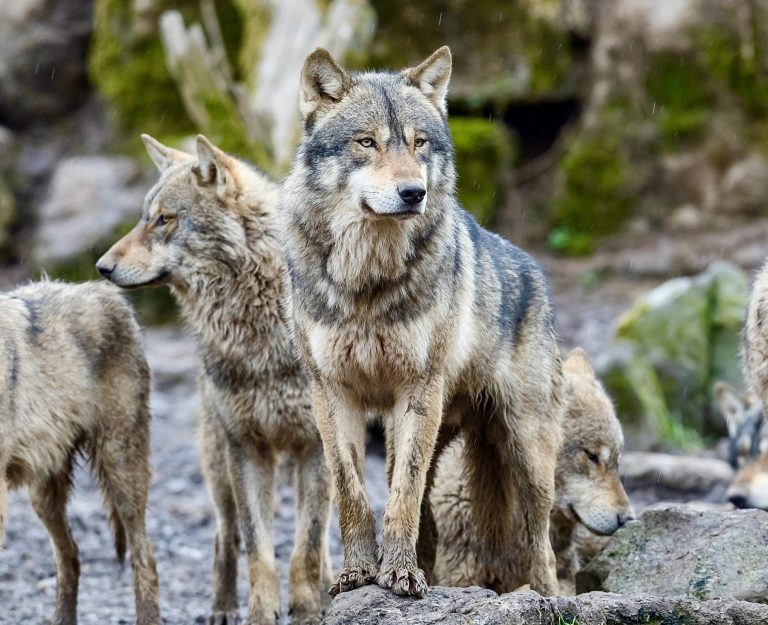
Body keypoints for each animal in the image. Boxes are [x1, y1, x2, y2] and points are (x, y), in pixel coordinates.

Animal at [96, 136, 332, 625]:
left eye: (165, 219)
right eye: (144, 217)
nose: (101, 267)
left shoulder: (316, 447)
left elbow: (306, 546)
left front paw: (307, 609)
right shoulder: (245, 446)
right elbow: (258, 551)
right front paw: (261, 614)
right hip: (219, 462)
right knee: (226, 535)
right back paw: (222, 607)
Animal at [280, 46, 565, 597]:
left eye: (419, 143)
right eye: (367, 142)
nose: (414, 192)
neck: (367, 282)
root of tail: (535, 271)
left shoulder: (415, 389)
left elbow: (402, 493)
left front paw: (399, 575)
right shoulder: (331, 391)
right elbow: (352, 491)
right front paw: (357, 574)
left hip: (526, 452)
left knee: (540, 543)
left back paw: (544, 597)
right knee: (433, 522)